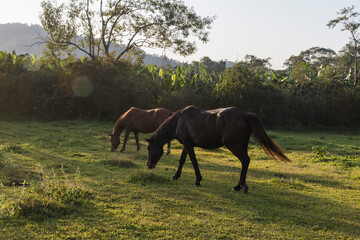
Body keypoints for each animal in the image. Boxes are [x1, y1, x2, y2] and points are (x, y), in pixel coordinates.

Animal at [146, 105, 290, 193]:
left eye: (149, 149)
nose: (149, 165)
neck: (179, 121)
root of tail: (245, 114)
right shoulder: (187, 144)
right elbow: (182, 160)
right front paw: (176, 176)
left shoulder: (188, 144)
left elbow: (193, 161)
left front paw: (198, 180)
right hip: (243, 145)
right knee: (246, 161)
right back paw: (239, 185)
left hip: (233, 145)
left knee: (245, 160)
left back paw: (240, 186)